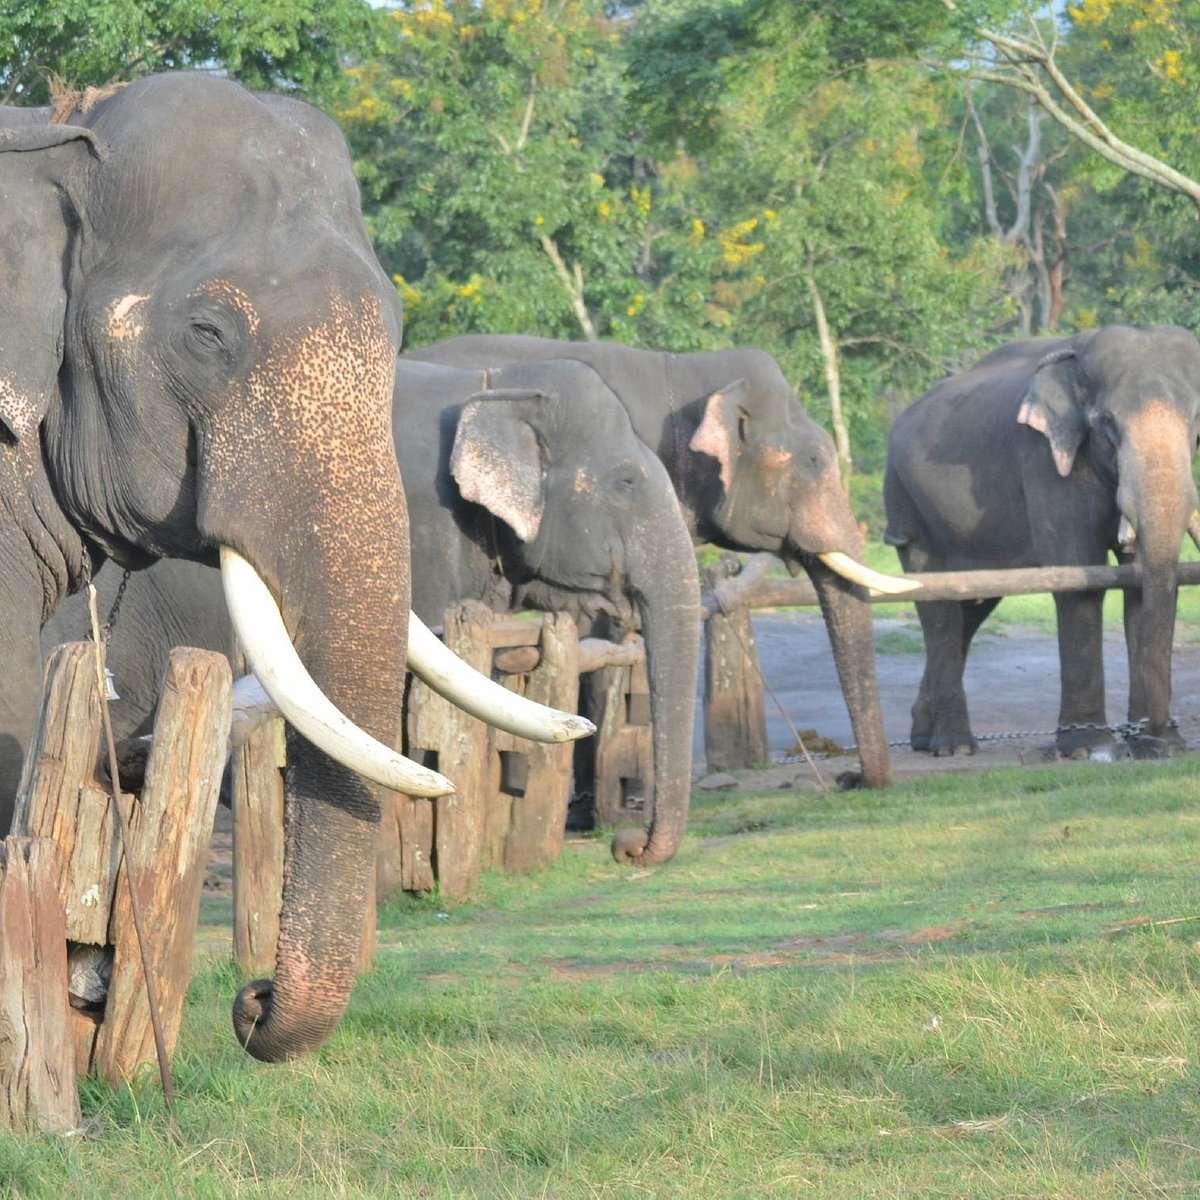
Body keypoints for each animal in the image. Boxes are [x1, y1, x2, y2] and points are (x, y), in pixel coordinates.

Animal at [884, 325, 1200, 758]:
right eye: (1107, 422)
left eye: (1196, 420)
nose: (1153, 731)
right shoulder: (1043, 459)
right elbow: (1078, 573)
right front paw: (1087, 749)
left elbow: (1138, 584)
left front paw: (1160, 748)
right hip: (908, 505)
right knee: (938, 606)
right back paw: (955, 747)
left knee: (972, 607)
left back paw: (922, 737)